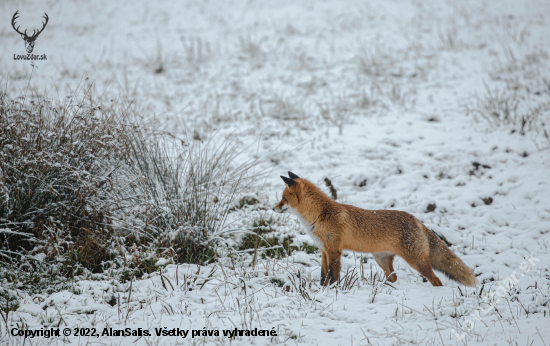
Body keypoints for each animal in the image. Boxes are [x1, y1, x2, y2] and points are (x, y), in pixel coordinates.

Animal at [276, 172, 478, 288]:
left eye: (283, 198)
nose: (273, 208)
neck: (320, 216)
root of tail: (416, 219)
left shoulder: (334, 252)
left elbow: (333, 276)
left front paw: (332, 290)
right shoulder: (324, 251)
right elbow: (323, 275)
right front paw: (321, 289)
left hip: (417, 262)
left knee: (437, 281)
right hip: (381, 260)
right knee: (393, 278)